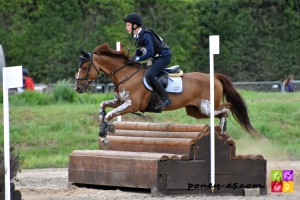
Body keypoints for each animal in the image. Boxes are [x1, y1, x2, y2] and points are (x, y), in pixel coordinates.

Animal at [75, 42, 258, 142]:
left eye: (84, 67)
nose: (77, 88)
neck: (125, 74)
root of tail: (214, 77)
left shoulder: (131, 105)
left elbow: (109, 114)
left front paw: (105, 134)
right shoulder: (120, 102)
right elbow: (103, 107)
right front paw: (105, 127)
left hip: (207, 107)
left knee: (226, 108)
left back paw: (224, 131)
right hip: (196, 111)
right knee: (221, 112)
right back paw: (222, 132)